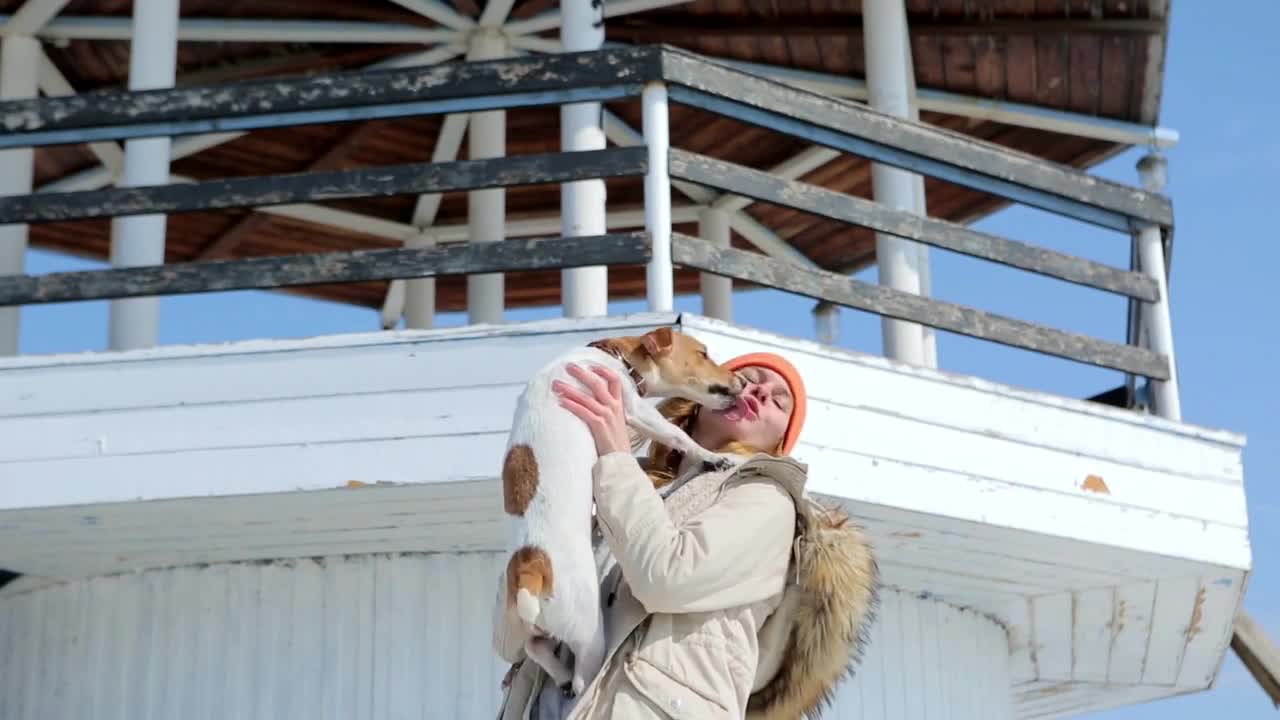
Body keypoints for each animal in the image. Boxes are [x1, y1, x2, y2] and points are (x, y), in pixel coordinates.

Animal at [496, 326, 747, 696]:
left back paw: (560, 673)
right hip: (588, 630)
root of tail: (531, 568)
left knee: (536, 646)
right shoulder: (634, 408)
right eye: (702, 353)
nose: (740, 381)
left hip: (535, 628)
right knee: (583, 672)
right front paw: (711, 457)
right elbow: (677, 435)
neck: (613, 356)